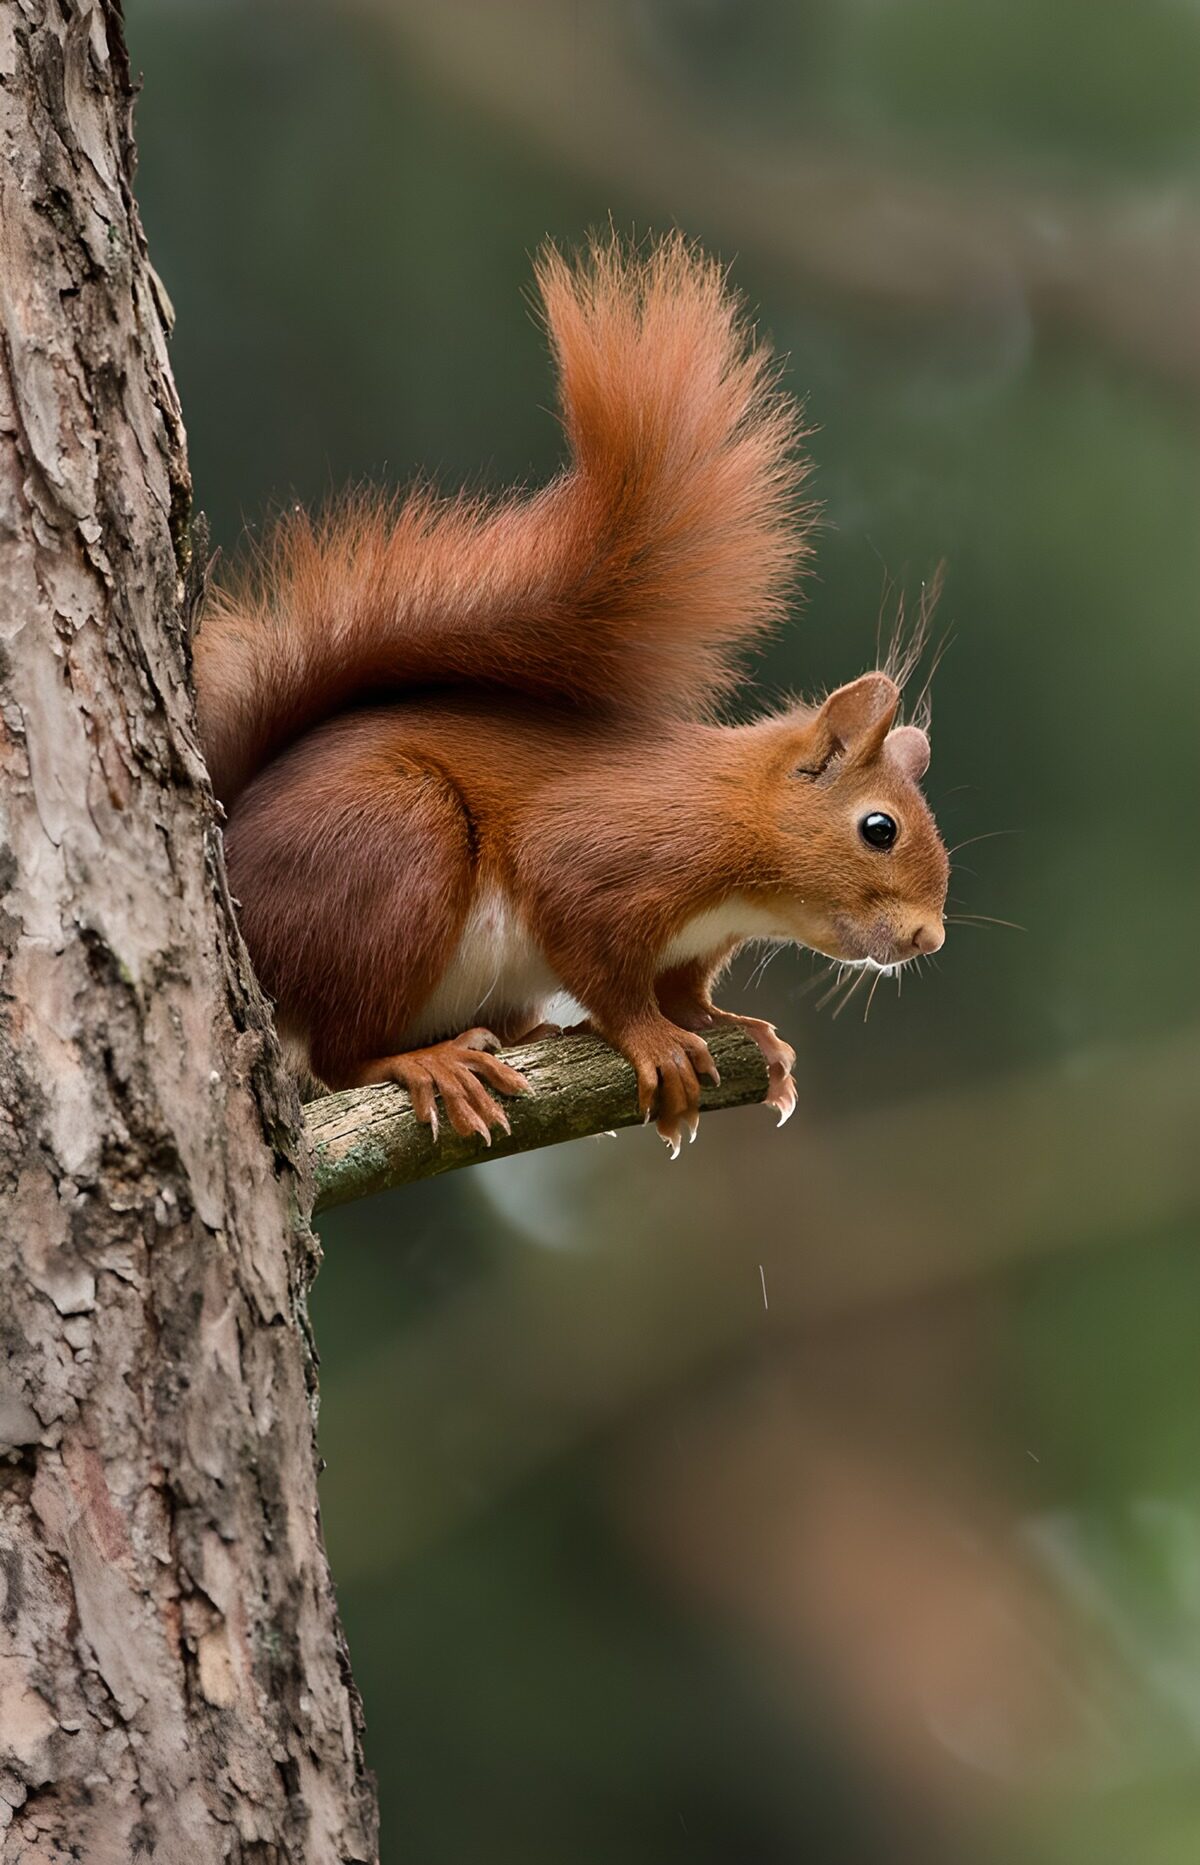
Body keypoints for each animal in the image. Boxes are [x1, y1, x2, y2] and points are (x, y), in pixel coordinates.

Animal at [193, 234, 949, 1156]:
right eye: (879, 828)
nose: (930, 936)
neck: (739, 826)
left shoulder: (695, 943)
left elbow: (689, 989)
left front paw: (741, 1029)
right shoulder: (606, 859)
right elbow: (602, 963)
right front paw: (653, 1038)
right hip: (392, 850)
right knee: (340, 1055)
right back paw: (427, 1062)